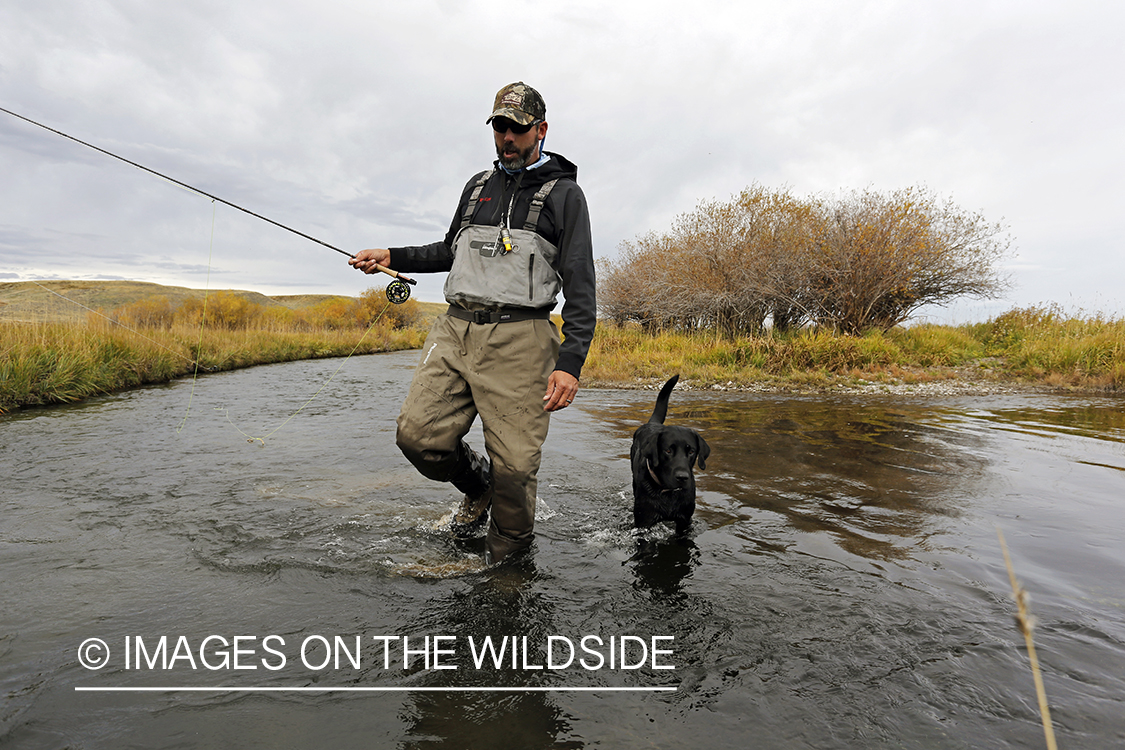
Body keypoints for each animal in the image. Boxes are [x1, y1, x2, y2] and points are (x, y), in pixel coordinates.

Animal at [630, 375, 706, 532]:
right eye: (668, 450)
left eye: (691, 451)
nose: (682, 477)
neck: (668, 492)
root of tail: (652, 423)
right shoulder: (643, 522)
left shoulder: (684, 521)